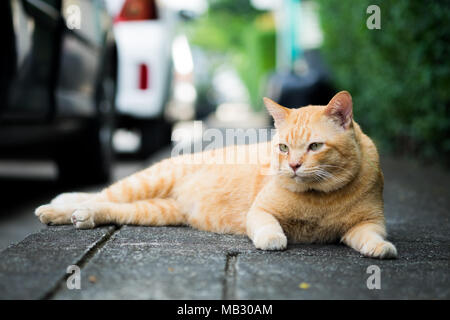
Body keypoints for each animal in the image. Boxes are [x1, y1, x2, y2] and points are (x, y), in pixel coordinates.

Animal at [35, 91, 398, 258]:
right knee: (99, 193)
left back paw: (81, 216)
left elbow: (370, 237)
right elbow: (268, 226)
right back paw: (57, 208)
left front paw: (381, 249)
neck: (320, 199)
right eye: (283, 148)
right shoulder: (260, 211)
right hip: (147, 181)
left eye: (314, 146)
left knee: (106, 207)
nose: (293, 166)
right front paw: (273, 239)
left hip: (156, 211)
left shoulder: (369, 223)